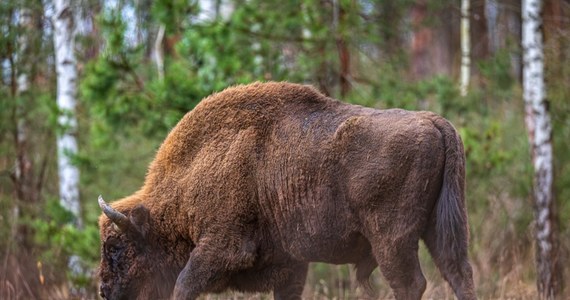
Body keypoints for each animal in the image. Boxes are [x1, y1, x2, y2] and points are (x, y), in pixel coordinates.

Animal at [98, 82, 474, 300]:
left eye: (117, 247)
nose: (103, 290)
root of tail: (433, 122)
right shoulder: (290, 266)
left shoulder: (221, 247)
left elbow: (184, 284)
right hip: (441, 228)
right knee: (459, 274)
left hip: (392, 240)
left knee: (410, 283)